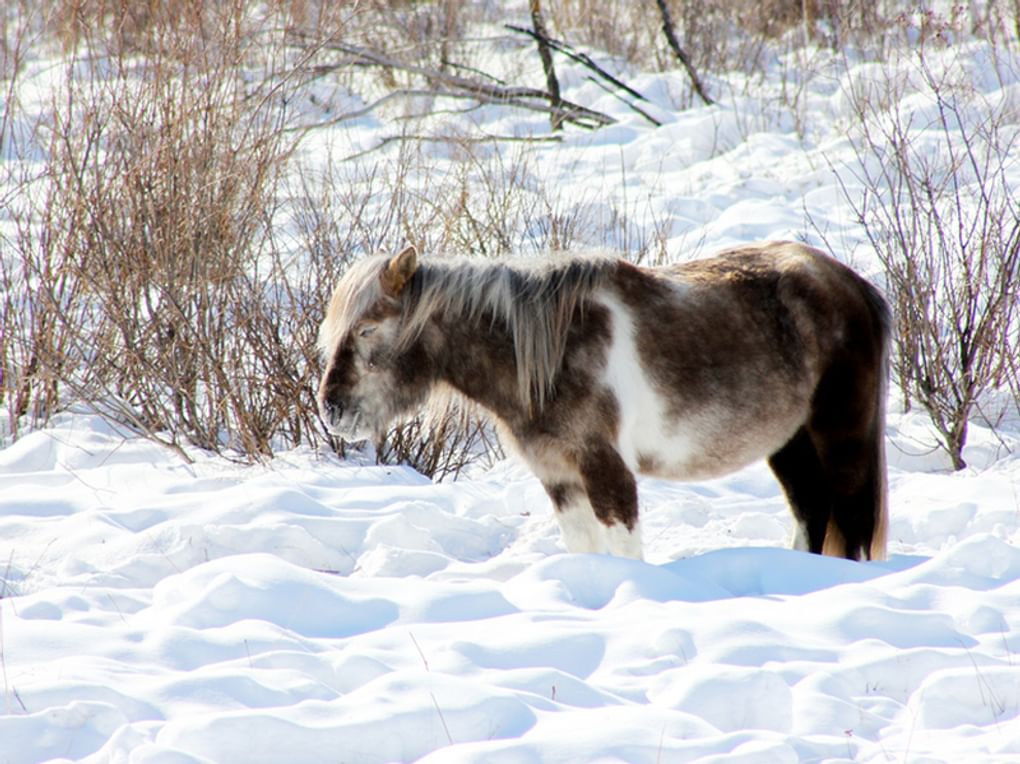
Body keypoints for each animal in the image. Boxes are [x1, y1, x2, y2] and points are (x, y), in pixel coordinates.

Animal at [314, 242, 889, 558]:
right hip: (790, 443)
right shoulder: (558, 476)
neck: (547, 357)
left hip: (841, 437)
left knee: (853, 524)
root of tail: (851, 284)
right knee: (812, 512)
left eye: (366, 329)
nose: (333, 410)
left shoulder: (605, 470)